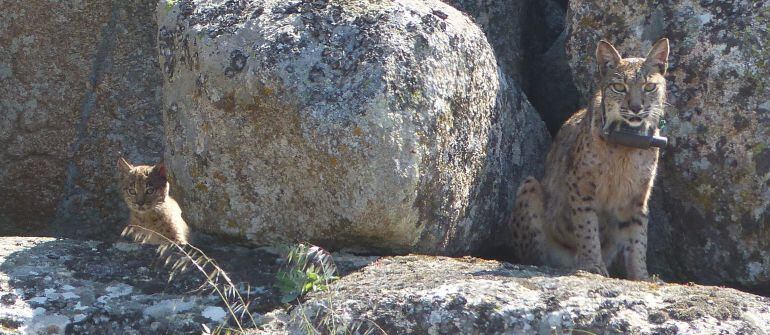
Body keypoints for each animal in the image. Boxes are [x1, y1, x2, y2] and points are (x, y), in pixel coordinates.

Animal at [510, 38, 664, 280]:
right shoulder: (581, 183)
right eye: (619, 87)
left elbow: (638, 236)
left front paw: (641, 276)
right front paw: (592, 264)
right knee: (535, 256)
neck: (626, 142)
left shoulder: (639, 193)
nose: (636, 108)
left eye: (650, 87)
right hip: (530, 185)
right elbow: (587, 225)